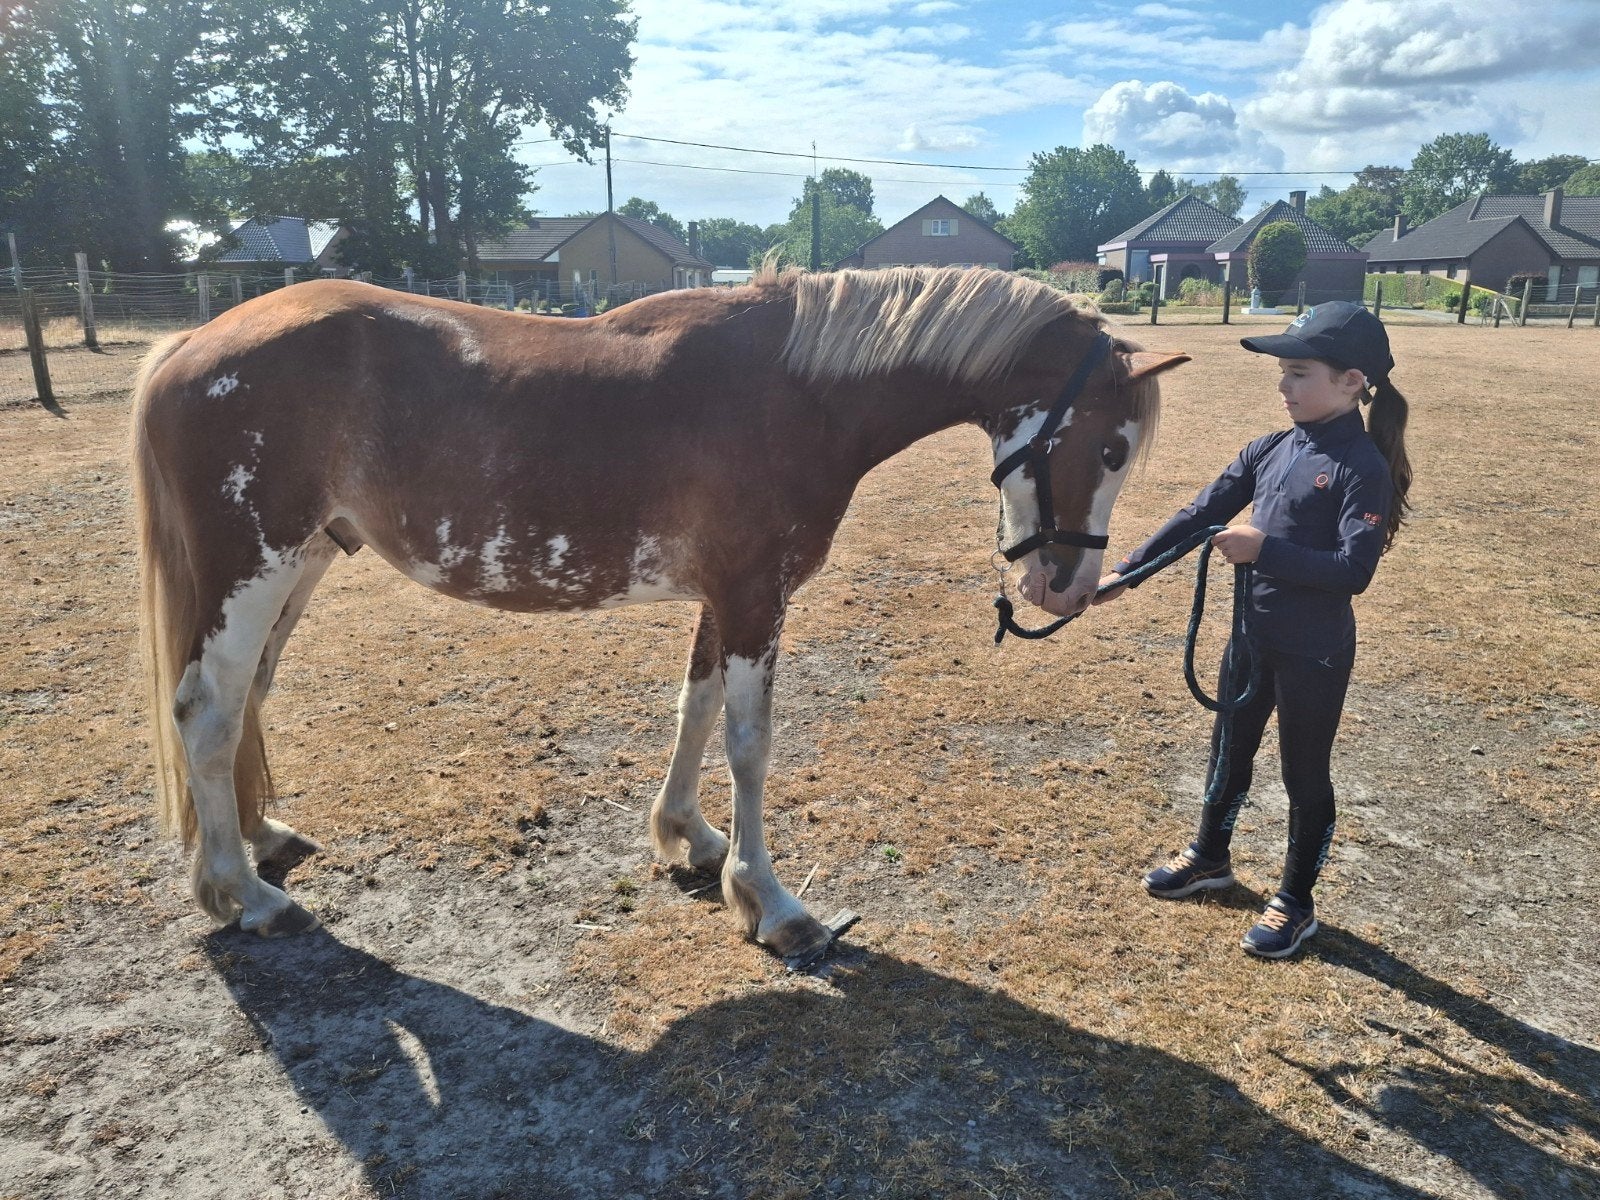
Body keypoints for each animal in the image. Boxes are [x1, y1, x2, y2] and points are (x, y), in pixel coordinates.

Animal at [131, 265, 1188, 966]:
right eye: (1108, 447)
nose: (1067, 589)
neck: (795, 390)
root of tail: (190, 344)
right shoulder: (756, 594)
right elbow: (752, 742)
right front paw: (770, 901)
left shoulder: (727, 597)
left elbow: (697, 710)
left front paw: (688, 837)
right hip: (252, 569)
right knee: (208, 711)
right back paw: (240, 892)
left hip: (300, 563)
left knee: (247, 699)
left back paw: (260, 842)